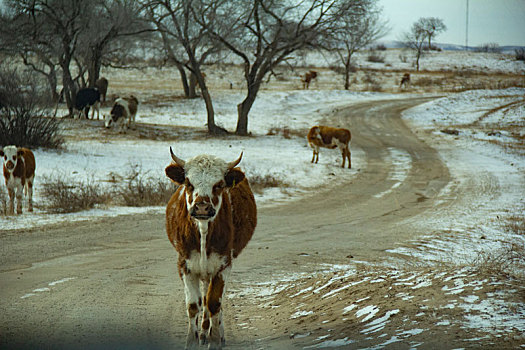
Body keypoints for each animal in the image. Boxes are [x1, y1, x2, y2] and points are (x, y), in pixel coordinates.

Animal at [163, 148, 255, 350]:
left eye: (219, 184)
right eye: (189, 183)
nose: (202, 207)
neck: (203, 231)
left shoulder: (223, 265)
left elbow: (214, 303)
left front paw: (214, 341)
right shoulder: (185, 265)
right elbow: (193, 305)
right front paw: (191, 341)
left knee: (213, 301)